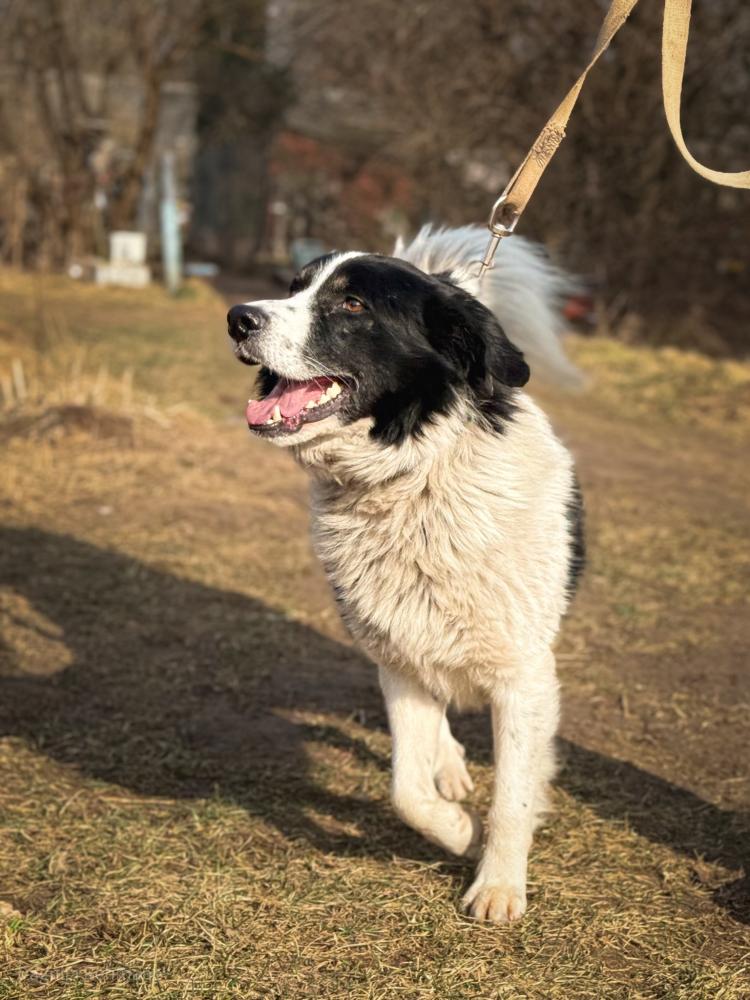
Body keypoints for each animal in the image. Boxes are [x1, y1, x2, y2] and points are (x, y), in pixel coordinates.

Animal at [227, 225, 585, 923]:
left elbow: (513, 794)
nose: (237, 317)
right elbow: (406, 792)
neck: (413, 478)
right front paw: (461, 832)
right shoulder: (397, 660)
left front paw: (498, 884)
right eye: (294, 287)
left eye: (352, 305)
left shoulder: (525, 676)